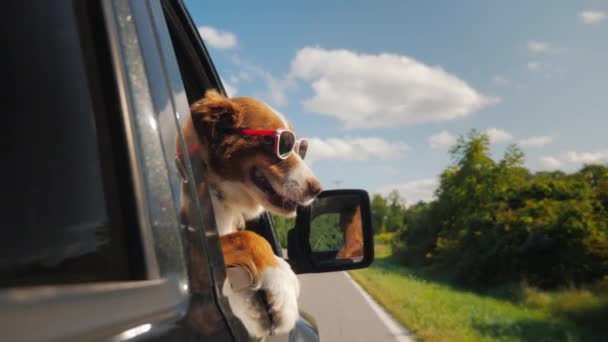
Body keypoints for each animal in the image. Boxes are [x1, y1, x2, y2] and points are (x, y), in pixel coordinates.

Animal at [177, 89, 324, 336]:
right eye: (283, 144)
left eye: (300, 148)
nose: (317, 189)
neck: (218, 191)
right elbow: (250, 238)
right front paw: (282, 282)